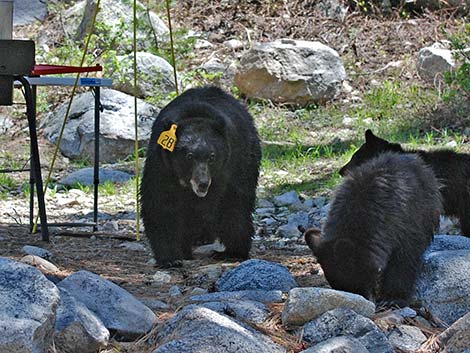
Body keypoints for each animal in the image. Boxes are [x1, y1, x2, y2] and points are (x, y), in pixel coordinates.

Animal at [141, 86, 262, 266]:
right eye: (189, 156)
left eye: (212, 157)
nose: (203, 184)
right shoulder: (162, 164)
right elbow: (160, 204)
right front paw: (170, 258)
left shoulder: (226, 169)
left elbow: (225, 204)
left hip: (246, 160)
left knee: (237, 204)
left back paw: (230, 250)